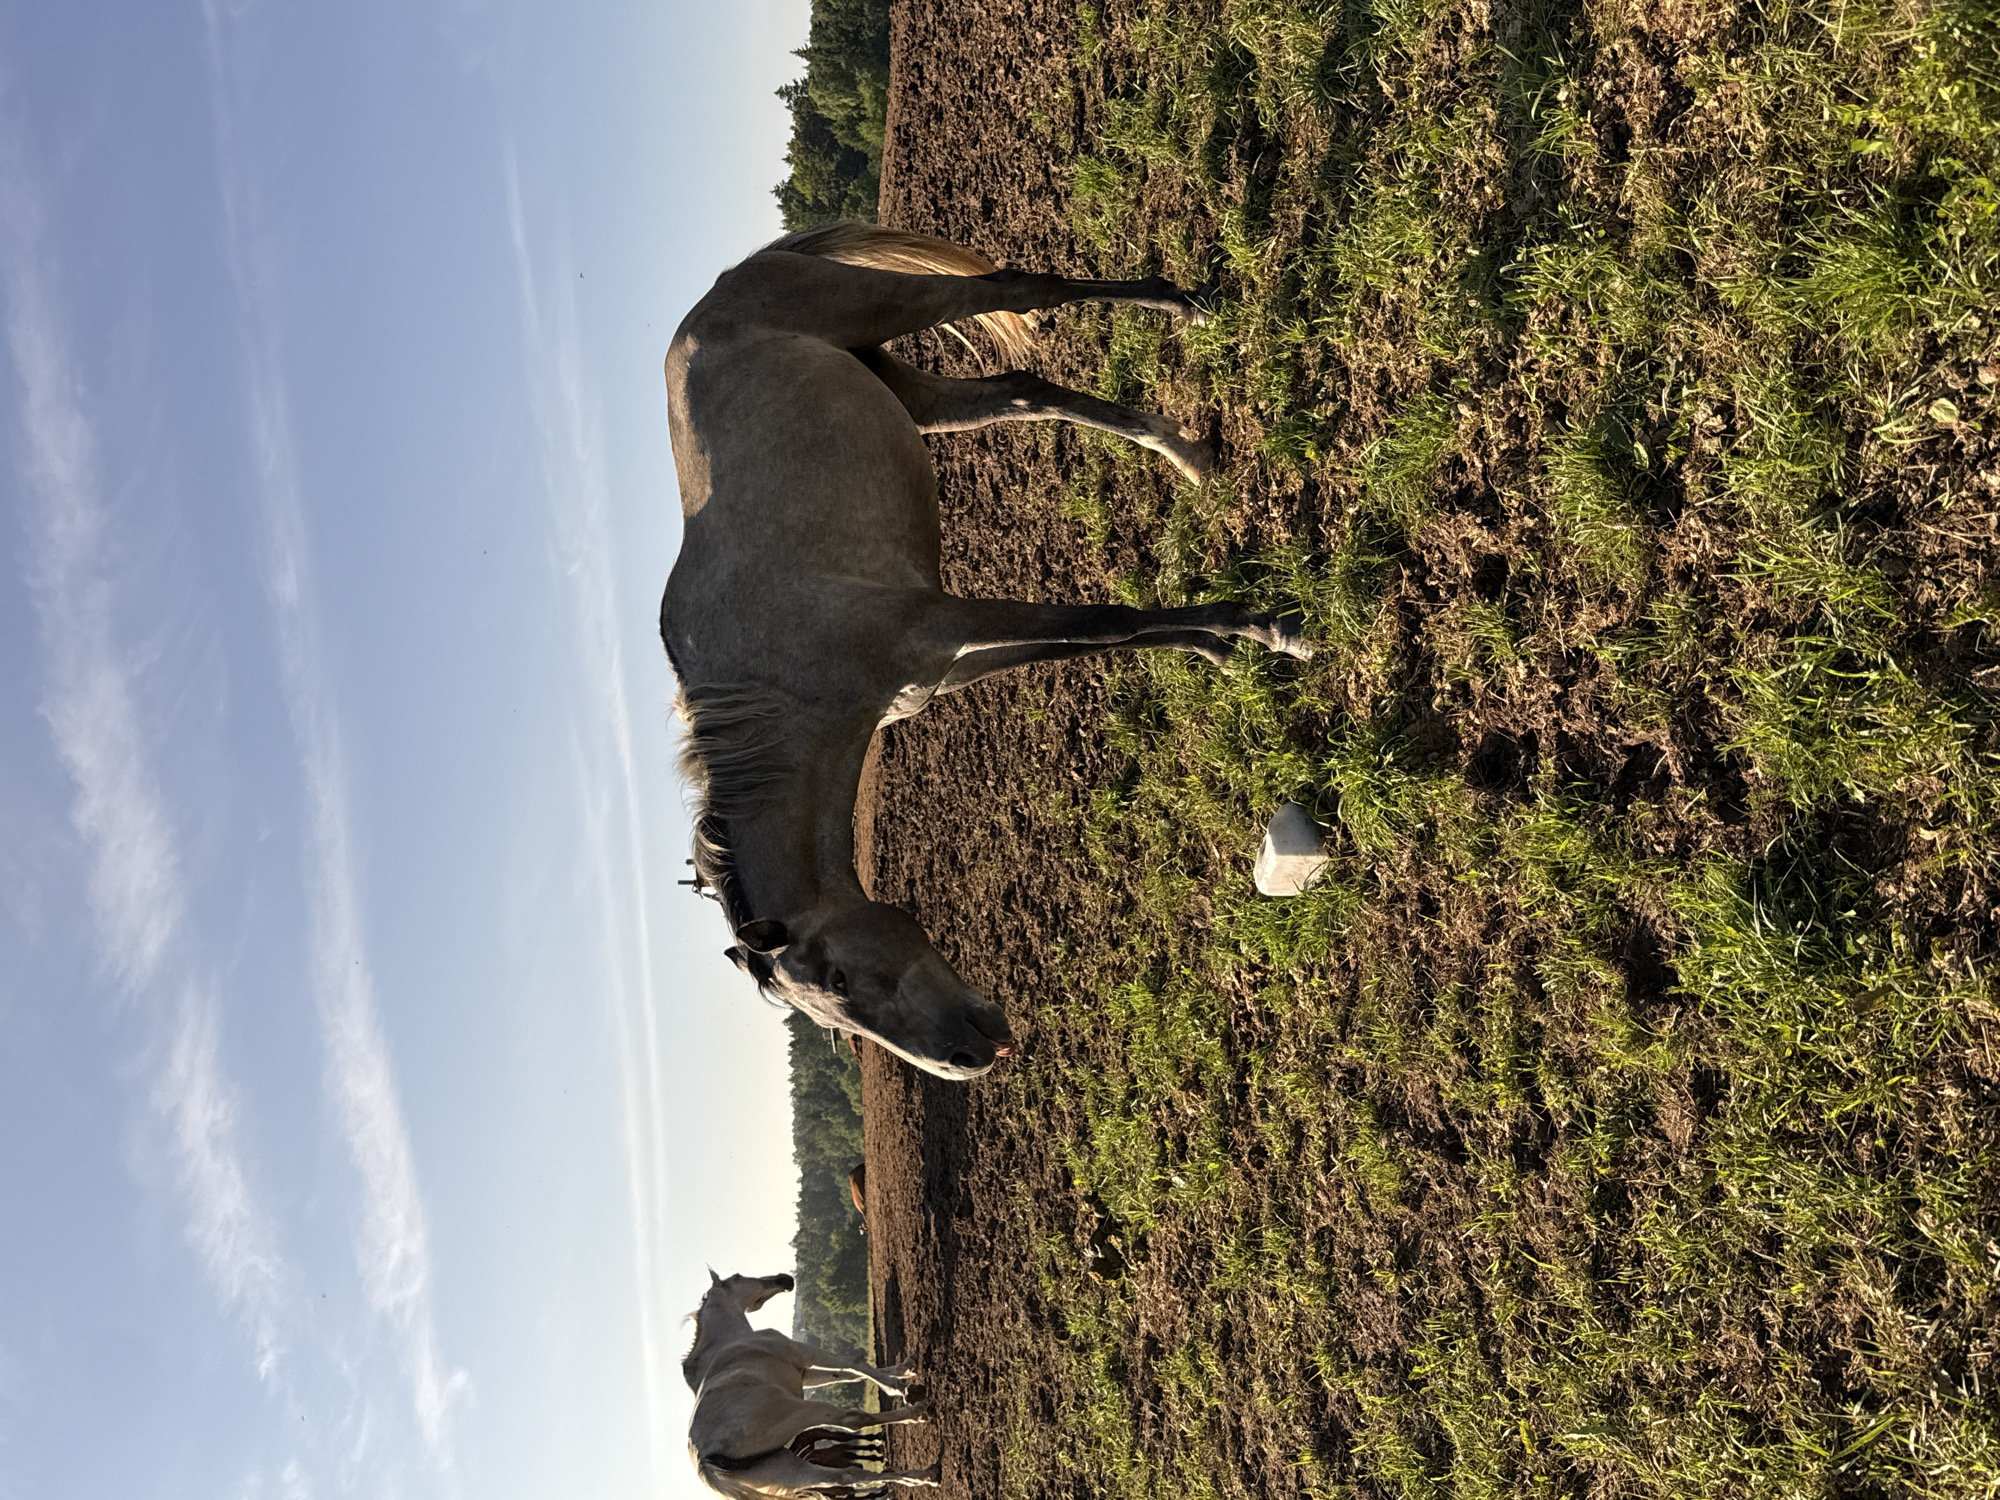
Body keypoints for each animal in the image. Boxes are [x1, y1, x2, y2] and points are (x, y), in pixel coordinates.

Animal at [663, 221, 1312, 1079]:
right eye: (832, 1011)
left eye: (838, 979)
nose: (966, 1059)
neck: (787, 688)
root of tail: (722, 287)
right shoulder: (946, 666)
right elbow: (1088, 641)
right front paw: (1220, 651)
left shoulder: (941, 623)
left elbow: (1104, 624)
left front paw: (1268, 629)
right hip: (909, 392)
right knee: (1022, 391)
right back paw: (1189, 455)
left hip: (890, 306)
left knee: (1015, 289)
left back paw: (1187, 308)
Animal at [685, 1271, 937, 1499]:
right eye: (737, 1277)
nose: (784, 1279)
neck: (730, 1341)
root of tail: (704, 1463)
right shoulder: (803, 1352)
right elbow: (853, 1364)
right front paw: (901, 1388)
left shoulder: (805, 1372)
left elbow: (847, 1374)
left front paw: (905, 1369)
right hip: (804, 1411)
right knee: (852, 1421)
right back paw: (916, 1415)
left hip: (786, 1467)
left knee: (846, 1476)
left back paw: (921, 1477)